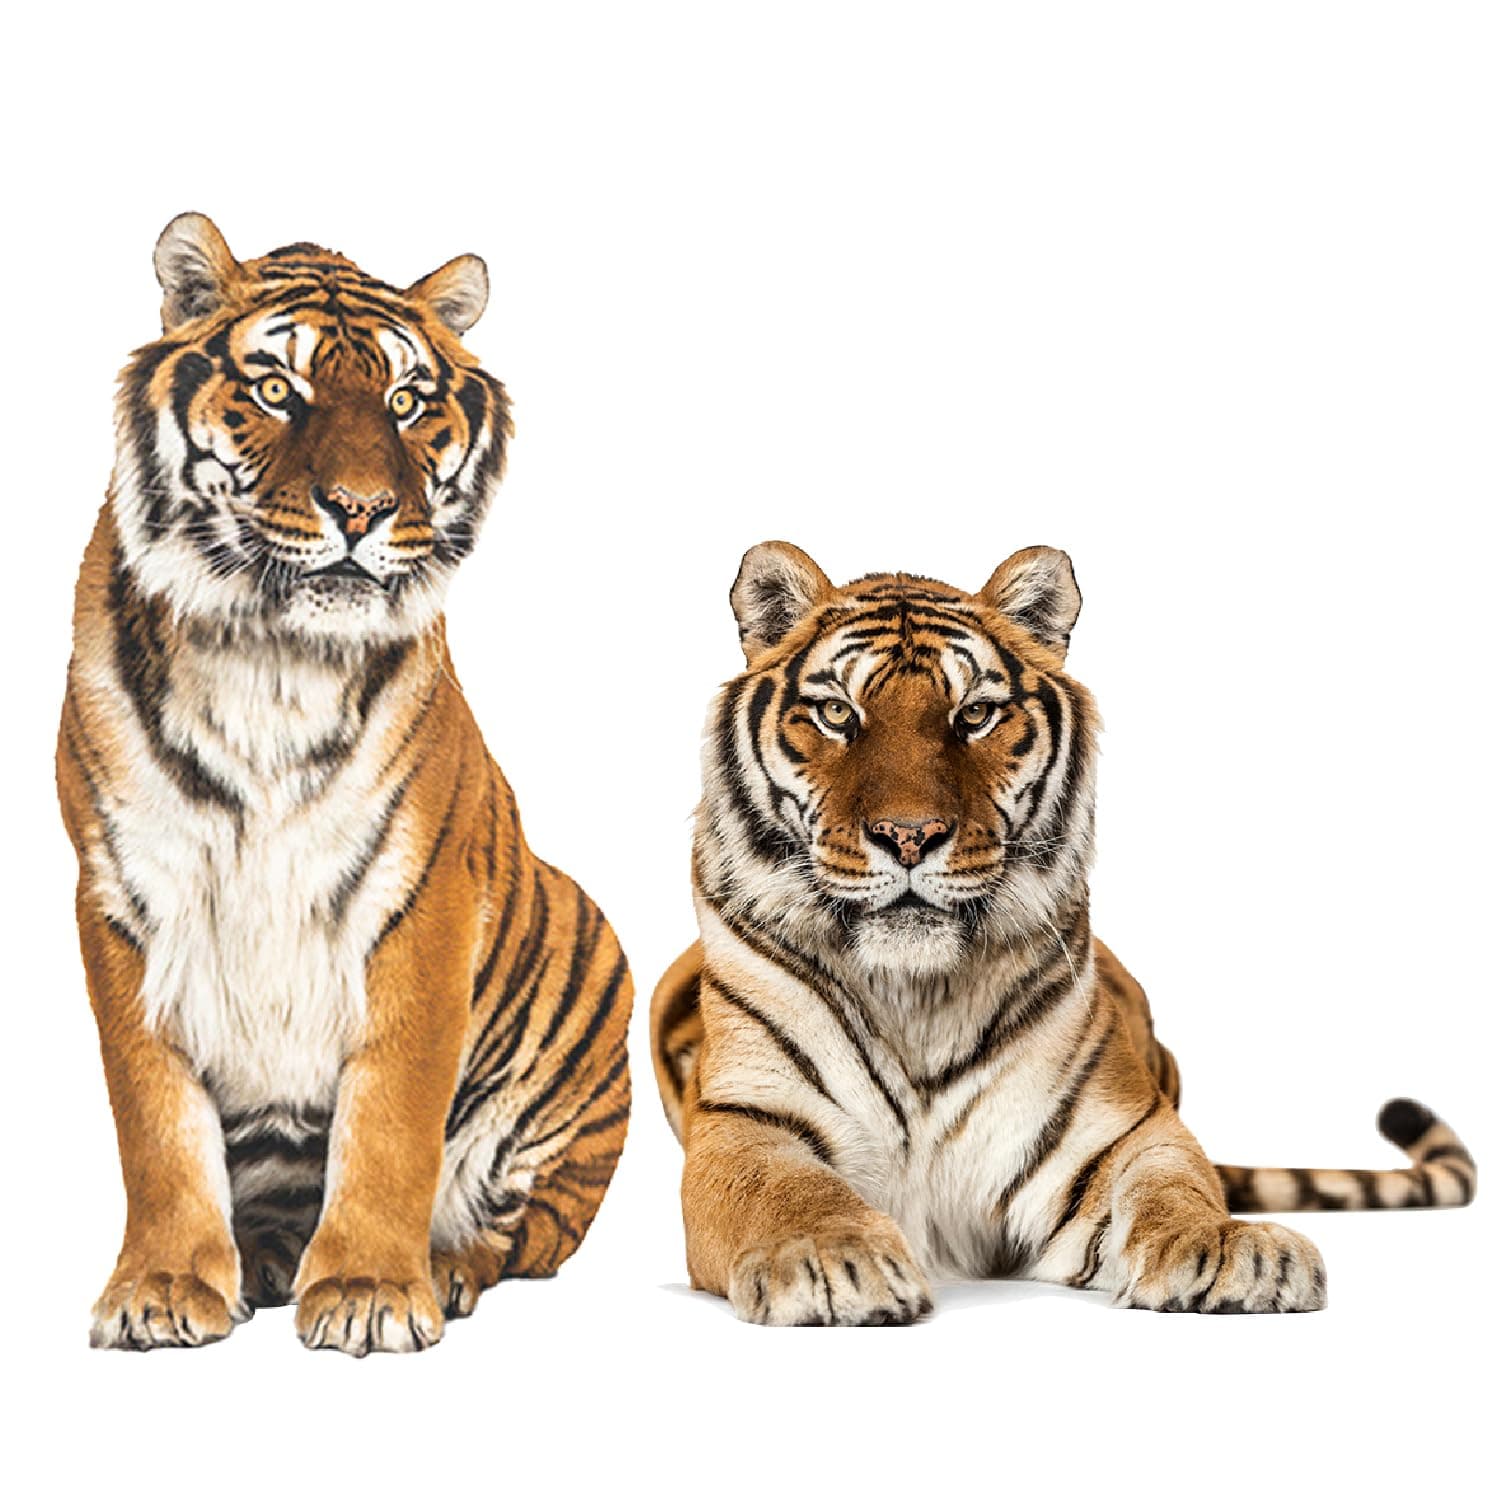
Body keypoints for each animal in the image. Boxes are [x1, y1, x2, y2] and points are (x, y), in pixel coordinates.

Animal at [56, 213, 631, 1355]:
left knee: (524, 1233)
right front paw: (164, 1287)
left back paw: (438, 1266)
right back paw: (266, 1257)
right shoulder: (124, 892)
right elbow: (154, 1117)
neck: (271, 659)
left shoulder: (422, 898)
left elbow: (394, 1115)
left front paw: (369, 1287)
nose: (361, 512)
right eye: (279, 389)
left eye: (406, 403)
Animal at [650, 541, 1476, 1324]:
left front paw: (1229, 1250)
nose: (910, 835)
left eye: (973, 715)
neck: (915, 995)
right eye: (837, 715)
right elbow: (781, 1190)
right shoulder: (747, 1121)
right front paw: (828, 1258)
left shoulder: (1119, 1130)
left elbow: (1176, 1185)